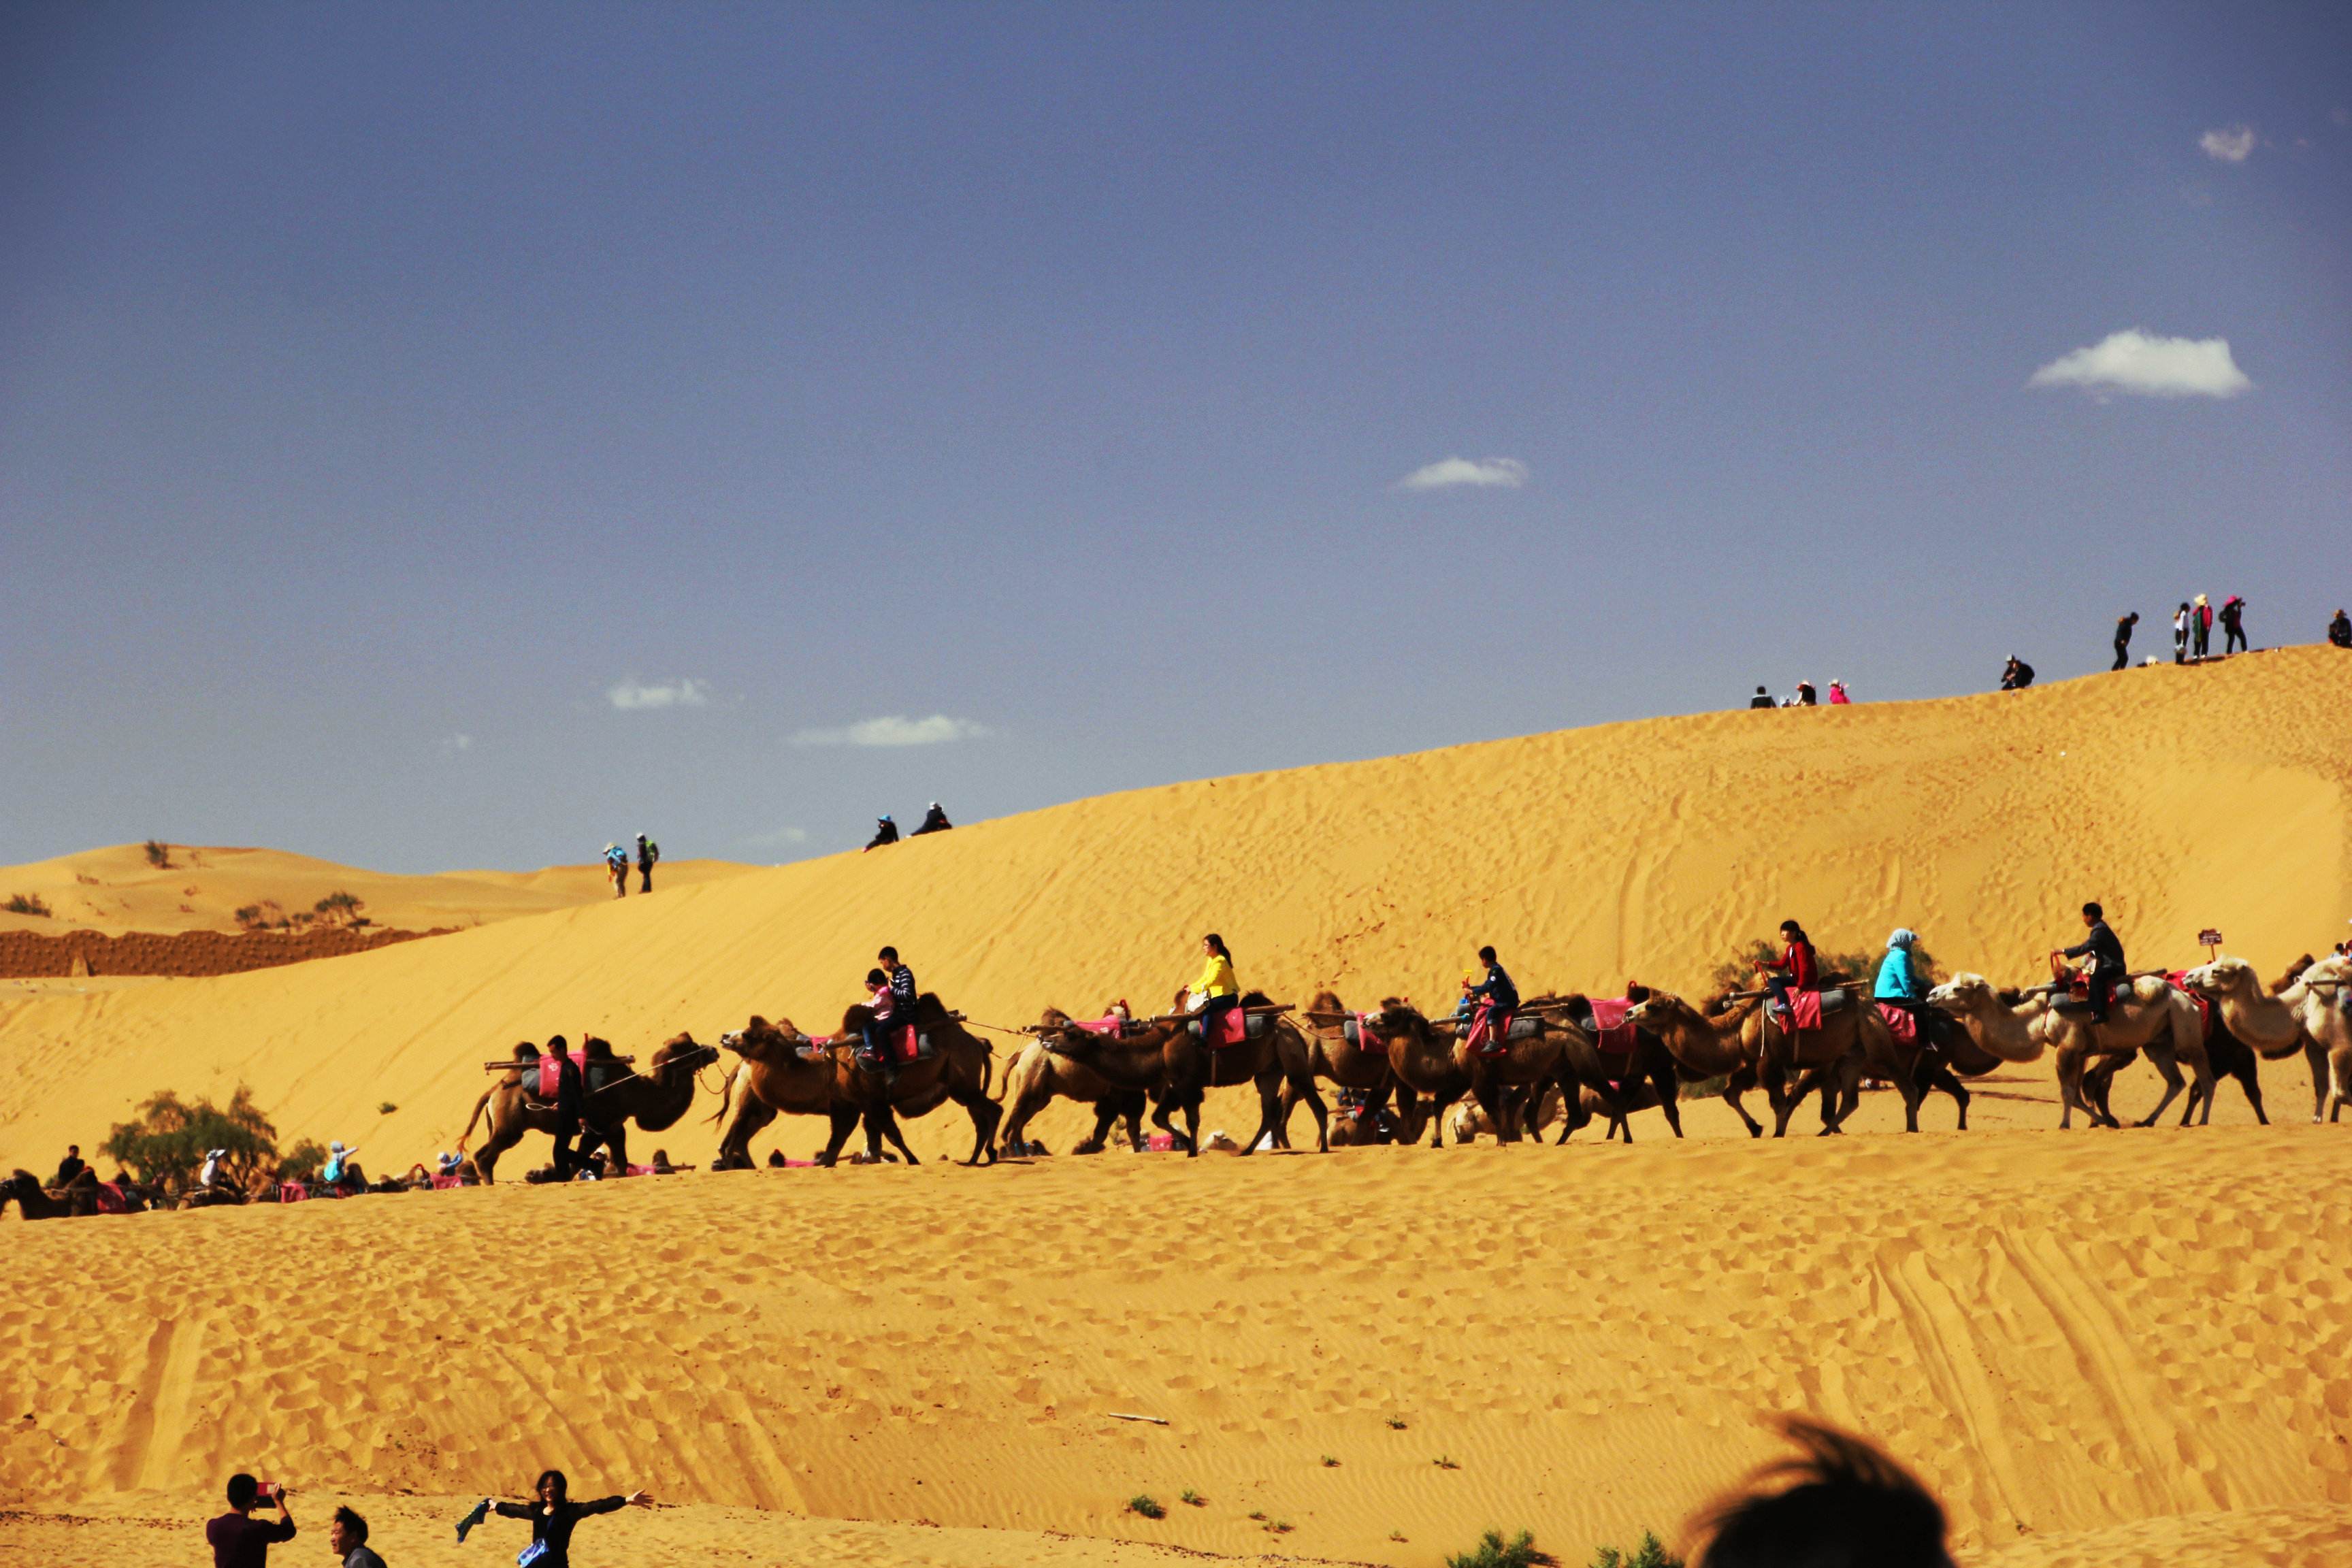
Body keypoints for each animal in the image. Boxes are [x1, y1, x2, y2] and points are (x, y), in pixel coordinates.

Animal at [458, 1029, 715, 1175]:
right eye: (691, 1048)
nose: (713, 1050)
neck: (633, 1091)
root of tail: (493, 1091)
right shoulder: (597, 1127)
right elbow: (580, 1161)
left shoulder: (614, 1127)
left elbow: (621, 1162)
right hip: (510, 1123)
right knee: (485, 1157)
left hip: (499, 1123)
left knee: (484, 1156)